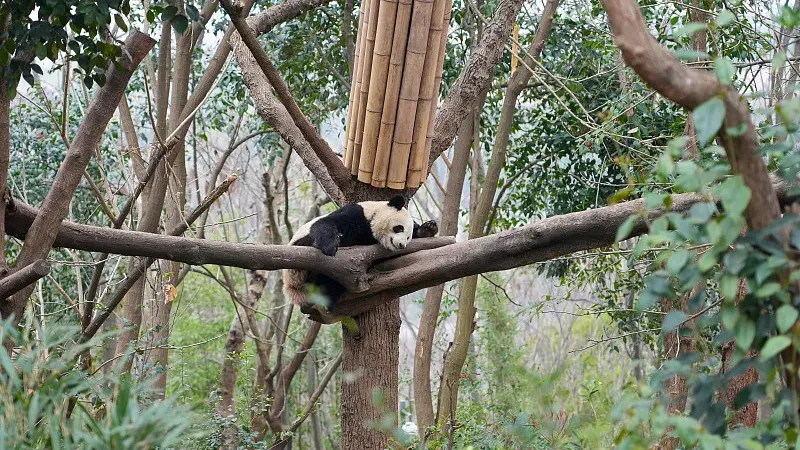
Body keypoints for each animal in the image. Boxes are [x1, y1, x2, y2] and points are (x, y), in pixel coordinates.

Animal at [282, 195, 437, 311]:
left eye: (408, 237)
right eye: (399, 228)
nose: (401, 245)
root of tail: (292, 288)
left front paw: (428, 229)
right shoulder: (357, 214)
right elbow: (327, 223)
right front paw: (330, 246)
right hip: (299, 265)